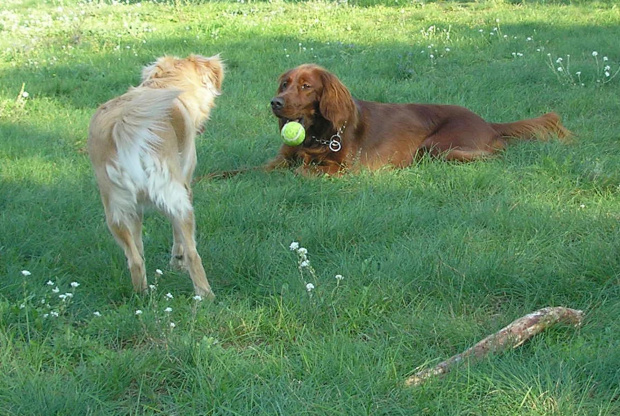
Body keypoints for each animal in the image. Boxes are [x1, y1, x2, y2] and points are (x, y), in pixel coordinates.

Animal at [86, 55, 224, 298]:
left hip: (115, 212)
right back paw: (206, 295)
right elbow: (178, 239)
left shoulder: (135, 210)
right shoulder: (185, 186)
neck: (166, 84)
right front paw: (177, 262)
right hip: (177, 199)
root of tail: (124, 122)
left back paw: (142, 296)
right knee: (192, 253)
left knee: (135, 260)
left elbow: (138, 246)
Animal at [268, 63, 572, 176]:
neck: (316, 134)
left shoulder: (345, 169)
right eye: (285, 84)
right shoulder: (280, 160)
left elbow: (305, 170)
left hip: (436, 146)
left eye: (306, 86)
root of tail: (486, 122)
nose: (275, 103)